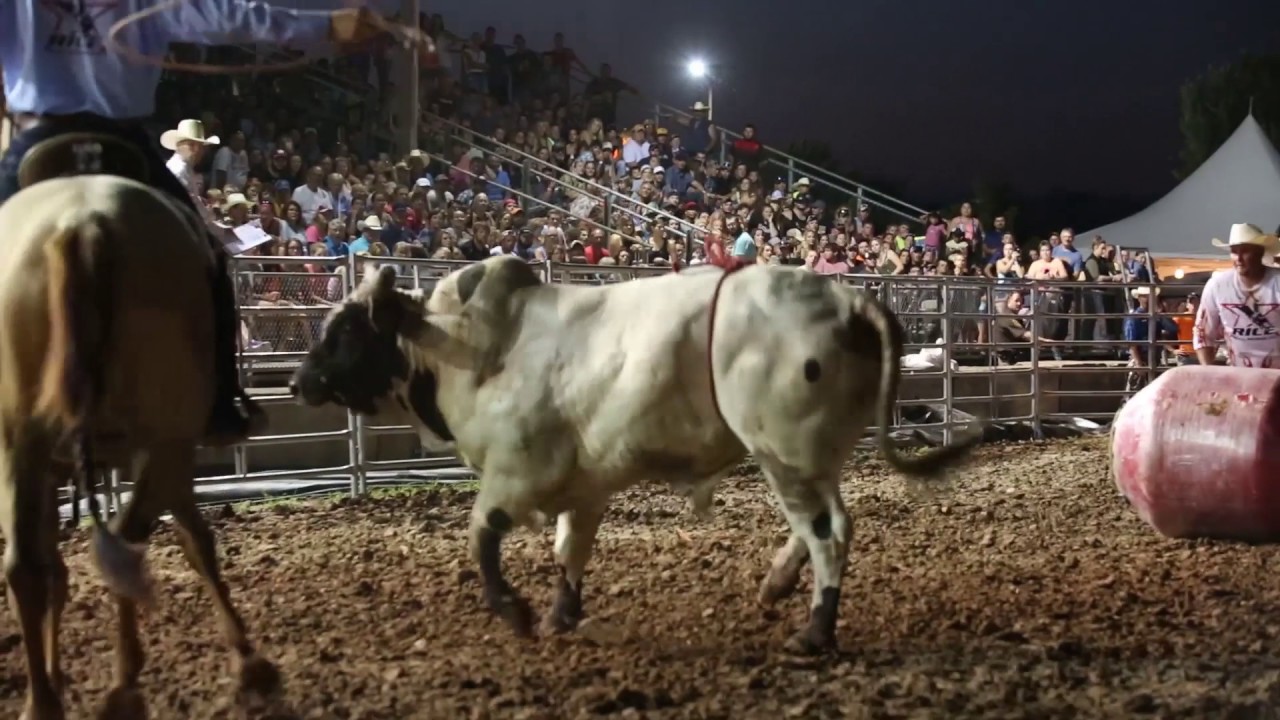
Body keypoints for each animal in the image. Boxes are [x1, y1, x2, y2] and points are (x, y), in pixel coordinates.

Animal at [0, 175, 280, 720]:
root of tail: (82, 222)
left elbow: (55, 568)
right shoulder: (172, 452)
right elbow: (197, 541)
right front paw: (248, 661)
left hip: (21, 448)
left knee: (30, 566)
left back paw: (47, 700)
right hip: (162, 440)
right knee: (119, 543)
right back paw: (120, 684)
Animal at [291, 255, 980, 654]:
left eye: (347, 329)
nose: (300, 383)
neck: (473, 348)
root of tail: (848, 300)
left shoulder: (515, 474)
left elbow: (481, 538)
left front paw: (515, 612)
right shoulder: (584, 486)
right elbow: (570, 549)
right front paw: (560, 614)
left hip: (784, 455)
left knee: (827, 533)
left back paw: (813, 633)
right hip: (811, 456)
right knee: (827, 523)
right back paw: (777, 585)